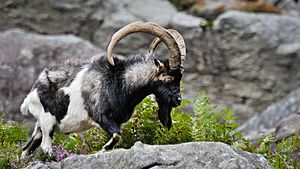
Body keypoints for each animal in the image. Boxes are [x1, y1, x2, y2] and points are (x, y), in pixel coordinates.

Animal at [20, 21, 185, 158]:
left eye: (180, 78)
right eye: (168, 78)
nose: (178, 100)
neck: (120, 83)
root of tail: (33, 91)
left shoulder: (117, 121)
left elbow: (116, 135)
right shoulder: (101, 117)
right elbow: (117, 135)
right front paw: (103, 149)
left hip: (41, 127)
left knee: (27, 149)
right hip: (47, 121)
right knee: (45, 146)